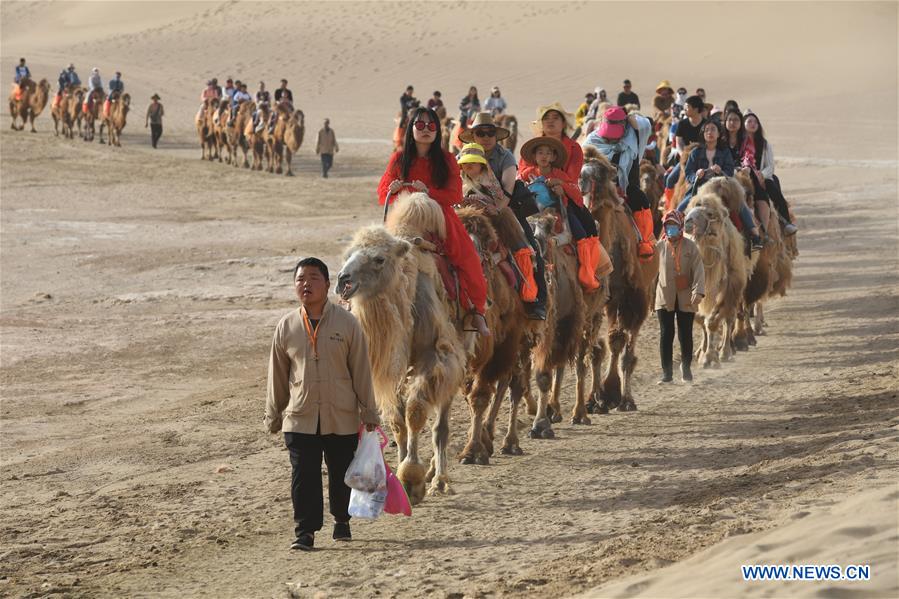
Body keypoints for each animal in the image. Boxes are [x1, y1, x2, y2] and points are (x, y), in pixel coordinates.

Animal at [336, 192, 468, 504]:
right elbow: (397, 421)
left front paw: (412, 479)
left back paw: (440, 479)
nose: (343, 280)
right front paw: (399, 478)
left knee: (441, 423)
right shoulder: (389, 369)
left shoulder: (436, 356)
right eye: (348, 255)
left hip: (455, 359)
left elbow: (415, 410)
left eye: (379, 259)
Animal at [581, 148, 659, 412]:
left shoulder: (633, 298)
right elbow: (596, 349)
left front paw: (623, 398)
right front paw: (594, 400)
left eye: (601, 174)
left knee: (622, 341)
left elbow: (623, 348)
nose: (584, 183)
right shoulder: (597, 302)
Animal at [684, 177, 751, 367]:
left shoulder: (726, 286)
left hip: (736, 287)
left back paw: (726, 351)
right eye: (688, 211)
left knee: (729, 318)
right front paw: (703, 354)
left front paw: (711, 358)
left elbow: (713, 321)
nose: (688, 222)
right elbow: (701, 319)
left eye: (710, 214)